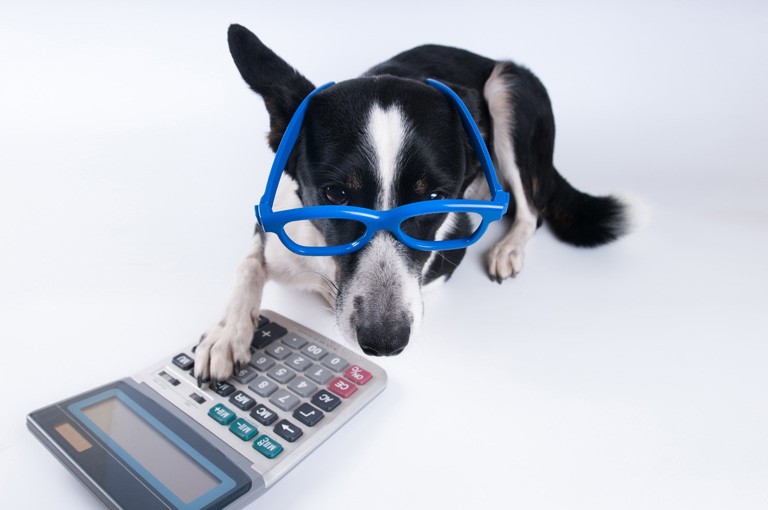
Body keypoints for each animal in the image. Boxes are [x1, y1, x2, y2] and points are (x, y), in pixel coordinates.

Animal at [194, 23, 636, 382]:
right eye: (336, 194)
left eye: (435, 197)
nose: (384, 342)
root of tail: (490, 58)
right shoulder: (275, 221)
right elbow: (249, 264)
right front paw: (227, 334)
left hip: (508, 90)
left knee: (532, 207)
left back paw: (509, 247)